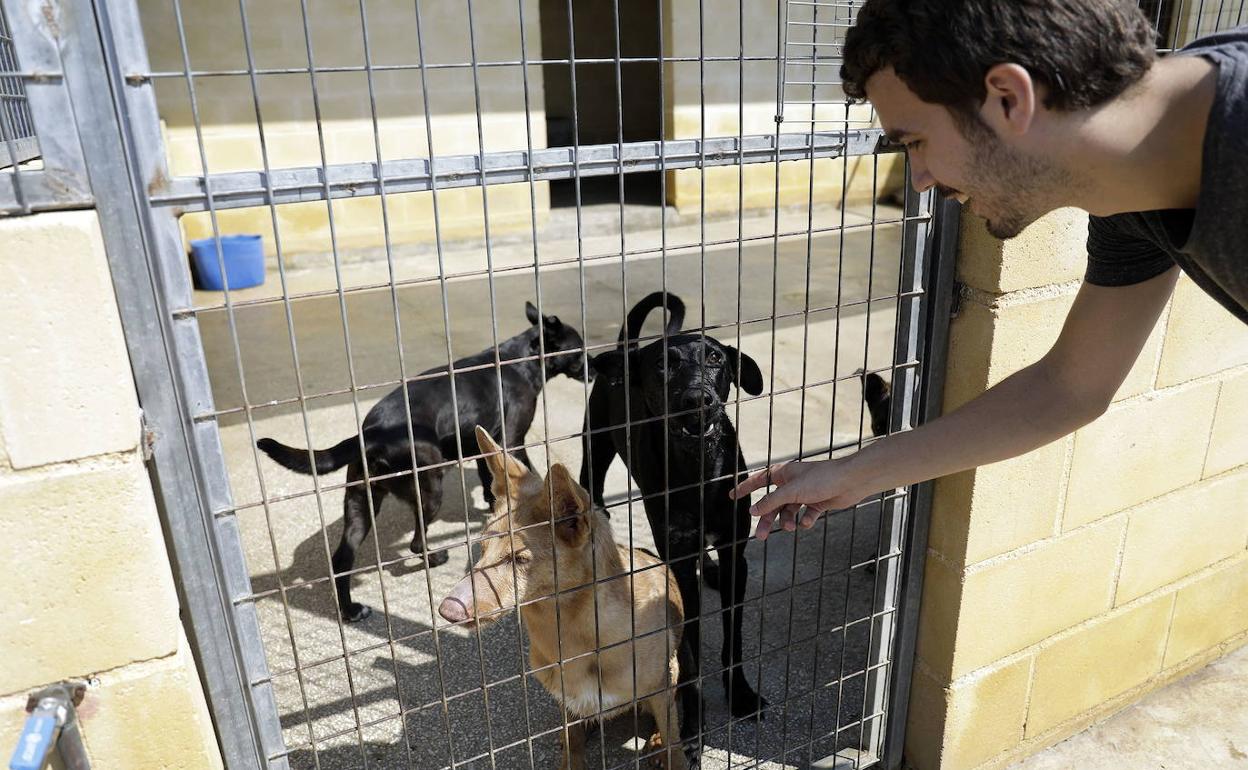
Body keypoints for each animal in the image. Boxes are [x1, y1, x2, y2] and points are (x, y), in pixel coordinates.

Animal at [255, 300, 591, 618]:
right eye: (579, 349)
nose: (595, 370)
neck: (521, 360)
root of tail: (373, 433)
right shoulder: (512, 439)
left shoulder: (482, 444)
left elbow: (489, 482)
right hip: (429, 488)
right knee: (416, 541)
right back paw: (433, 557)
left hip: (360, 503)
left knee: (341, 560)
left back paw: (351, 610)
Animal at [439, 426, 688, 768]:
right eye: (482, 548)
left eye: (519, 559)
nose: (447, 610)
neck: (577, 635)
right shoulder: (565, 697)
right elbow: (574, 746)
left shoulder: (663, 686)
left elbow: (674, 742)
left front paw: (668, 747)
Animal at [576, 289, 768, 758]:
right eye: (664, 365)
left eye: (716, 358)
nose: (699, 399)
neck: (697, 467)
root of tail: (626, 349)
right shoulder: (677, 563)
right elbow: (691, 656)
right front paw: (693, 729)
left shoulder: (735, 553)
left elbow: (733, 637)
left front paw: (741, 695)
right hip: (595, 447)